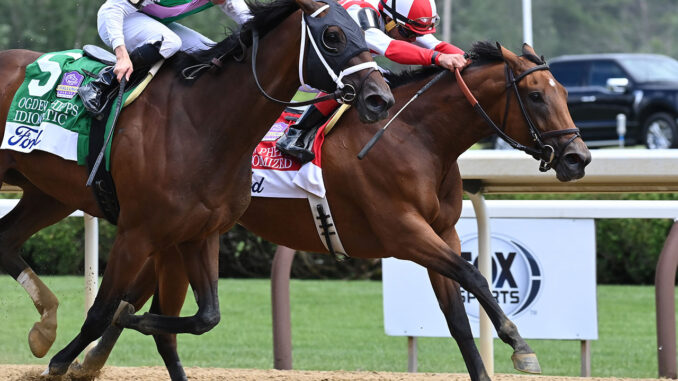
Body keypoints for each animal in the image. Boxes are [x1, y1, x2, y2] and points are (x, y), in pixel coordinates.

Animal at [0, 0, 394, 376]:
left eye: (361, 31)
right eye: (332, 36)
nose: (381, 99)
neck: (202, 125)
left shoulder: (198, 234)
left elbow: (205, 316)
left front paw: (135, 318)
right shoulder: (136, 235)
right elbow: (101, 312)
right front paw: (60, 362)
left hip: (48, 194)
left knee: (8, 239)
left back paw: (45, 326)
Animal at [73, 41, 588, 380]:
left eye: (565, 93)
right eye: (537, 95)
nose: (578, 158)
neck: (418, 139)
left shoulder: (443, 232)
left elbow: (459, 318)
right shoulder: (404, 233)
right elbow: (475, 277)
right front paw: (521, 347)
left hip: (175, 233)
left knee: (131, 299)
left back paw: (88, 359)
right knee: (133, 301)